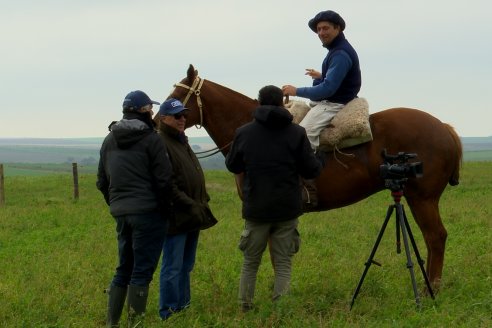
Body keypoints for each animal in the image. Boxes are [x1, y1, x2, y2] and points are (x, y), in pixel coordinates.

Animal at [167, 64, 464, 290]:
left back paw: (430, 289)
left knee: (436, 237)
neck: (259, 125)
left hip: (423, 198)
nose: (160, 121)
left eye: (179, 94)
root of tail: (445, 128)